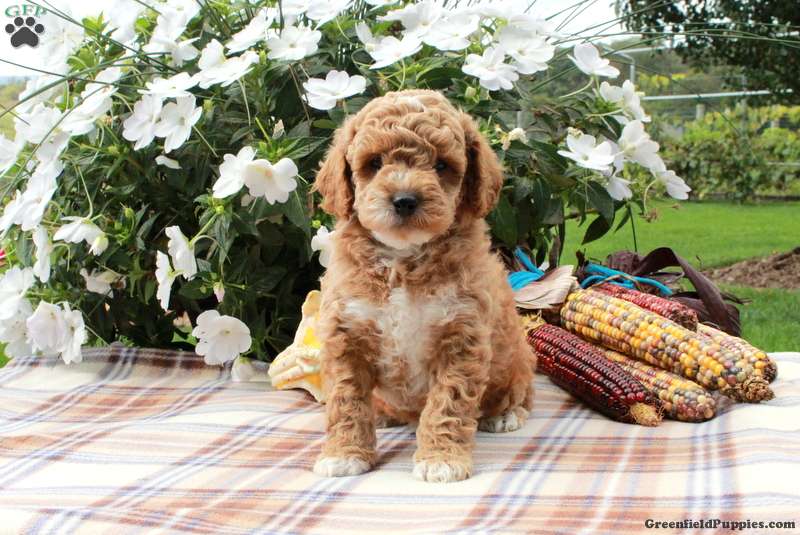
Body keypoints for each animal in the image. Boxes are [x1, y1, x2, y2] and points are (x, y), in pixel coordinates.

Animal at [312, 89, 535, 483]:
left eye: (442, 166)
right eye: (374, 163)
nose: (404, 200)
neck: (403, 259)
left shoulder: (461, 337)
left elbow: (448, 404)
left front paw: (441, 459)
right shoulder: (347, 333)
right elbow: (346, 401)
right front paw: (344, 454)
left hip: (517, 358)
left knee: (520, 390)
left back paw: (504, 414)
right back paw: (383, 414)